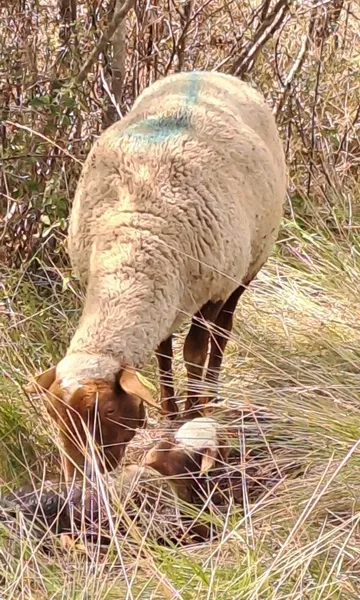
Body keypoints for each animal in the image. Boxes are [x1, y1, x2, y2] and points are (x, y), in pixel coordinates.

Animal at [26, 71, 286, 482]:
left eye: (109, 411)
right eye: (53, 415)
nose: (81, 480)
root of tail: (209, 72)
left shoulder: (210, 288)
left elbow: (194, 352)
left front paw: (193, 414)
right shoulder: (165, 291)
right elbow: (163, 353)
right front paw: (169, 411)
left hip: (247, 265)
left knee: (222, 333)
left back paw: (211, 393)